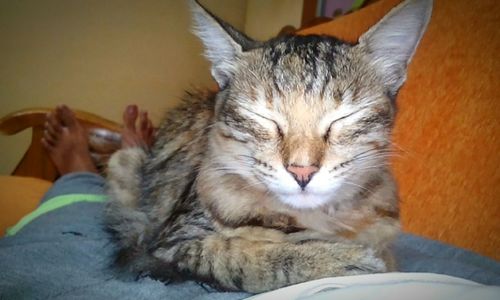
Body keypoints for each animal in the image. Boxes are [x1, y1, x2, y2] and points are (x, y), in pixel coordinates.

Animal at [106, 0, 434, 292]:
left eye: (344, 117)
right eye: (262, 117)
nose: (302, 171)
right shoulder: (176, 241)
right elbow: (241, 255)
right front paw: (332, 260)